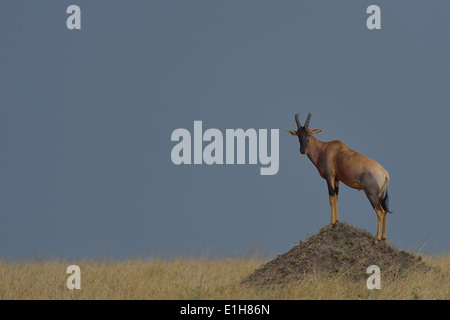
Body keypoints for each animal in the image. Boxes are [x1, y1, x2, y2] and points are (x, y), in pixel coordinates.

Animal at [288, 114, 390, 244]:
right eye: (297, 134)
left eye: (309, 134)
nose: (302, 150)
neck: (325, 148)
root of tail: (385, 173)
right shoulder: (336, 179)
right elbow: (336, 198)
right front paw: (336, 222)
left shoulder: (329, 177)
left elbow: (331, 198)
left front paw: (331, 225)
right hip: (380, 195)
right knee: (385, 210)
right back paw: (383, 237)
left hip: (371, 194)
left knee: (380, 211)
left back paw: (376, 239)